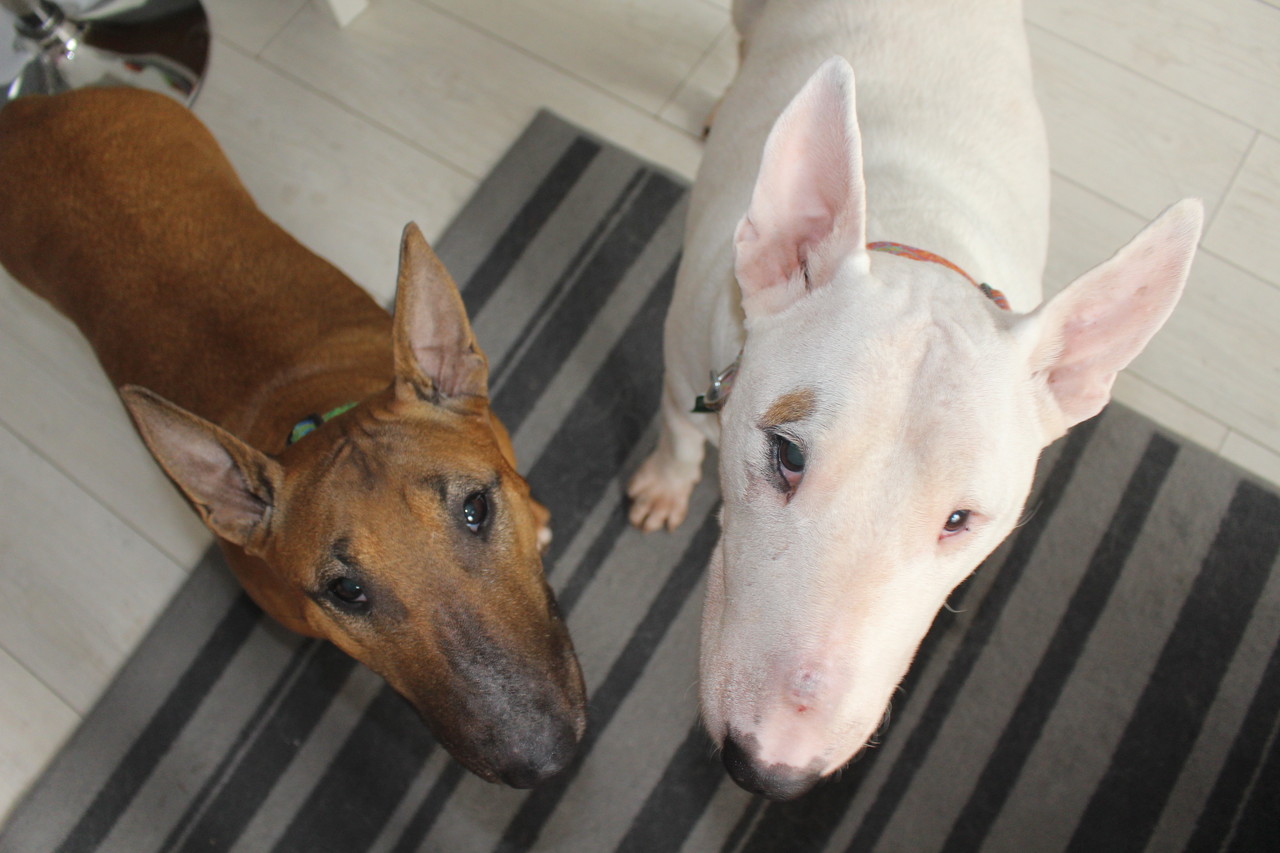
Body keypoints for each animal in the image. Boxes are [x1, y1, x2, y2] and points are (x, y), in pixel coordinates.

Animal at [627, 0, 1202, 800]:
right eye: (785, 453)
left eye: (960, 521)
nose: (771, 770)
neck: (919, 233)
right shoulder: (684, 360)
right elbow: (678, 432)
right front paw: (662, 486)